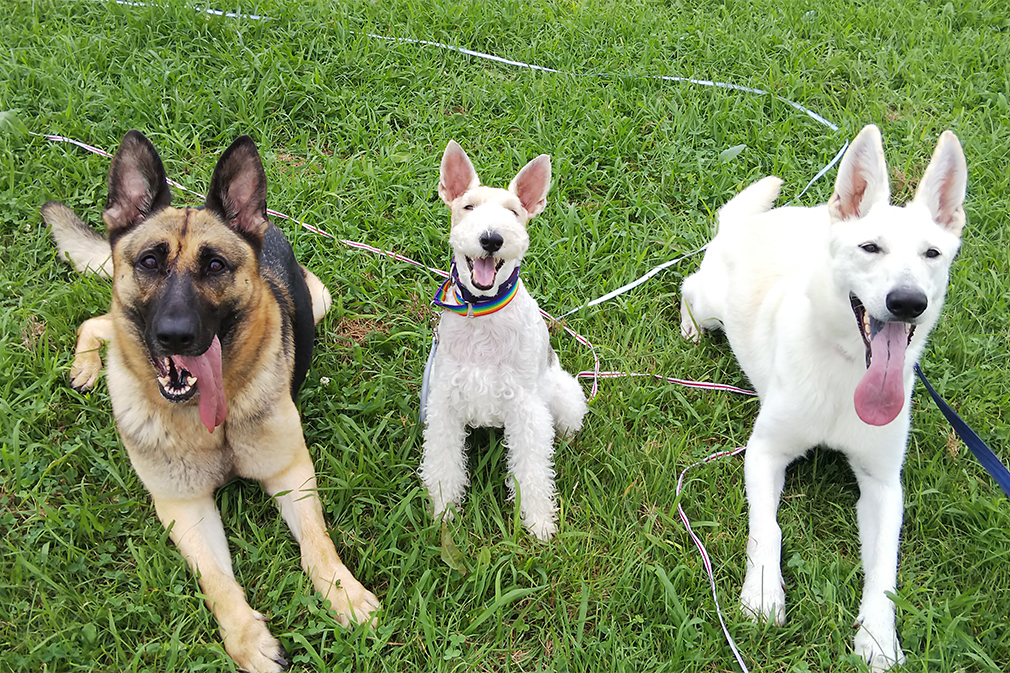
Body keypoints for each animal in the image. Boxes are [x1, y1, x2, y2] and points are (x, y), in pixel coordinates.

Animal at [40, 131, 381, 670]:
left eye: (215, 266)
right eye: (149, 262)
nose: (174, 336)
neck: (210, 421)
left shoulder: (290, 472)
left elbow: (317, 541)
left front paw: (343, 594)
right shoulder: (184, 506)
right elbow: (216, 580)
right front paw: (248, 640)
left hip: (321, 299)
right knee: (98, 321)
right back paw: (88, 365)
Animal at [418, 140, 589, 541]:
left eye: (514, 212)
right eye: (467, 207)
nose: (492, 239)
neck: (482, 313)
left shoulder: (526, 408)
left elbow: (532, 469)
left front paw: (539, 521)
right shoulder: (444, 403)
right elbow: (444, 464)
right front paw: (444, 512)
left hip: (563, 395)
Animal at [678, 124, 969, 666]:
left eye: (932, 254)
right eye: (870, 247)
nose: (908, 302)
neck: (847, 369)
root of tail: (757, 221)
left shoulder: (883, 484)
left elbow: (884, 569)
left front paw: (878, 638)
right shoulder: (764, 451)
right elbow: (766, 527)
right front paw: (763, 594)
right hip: (710, 306)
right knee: (687, 288)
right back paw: (688, 327)